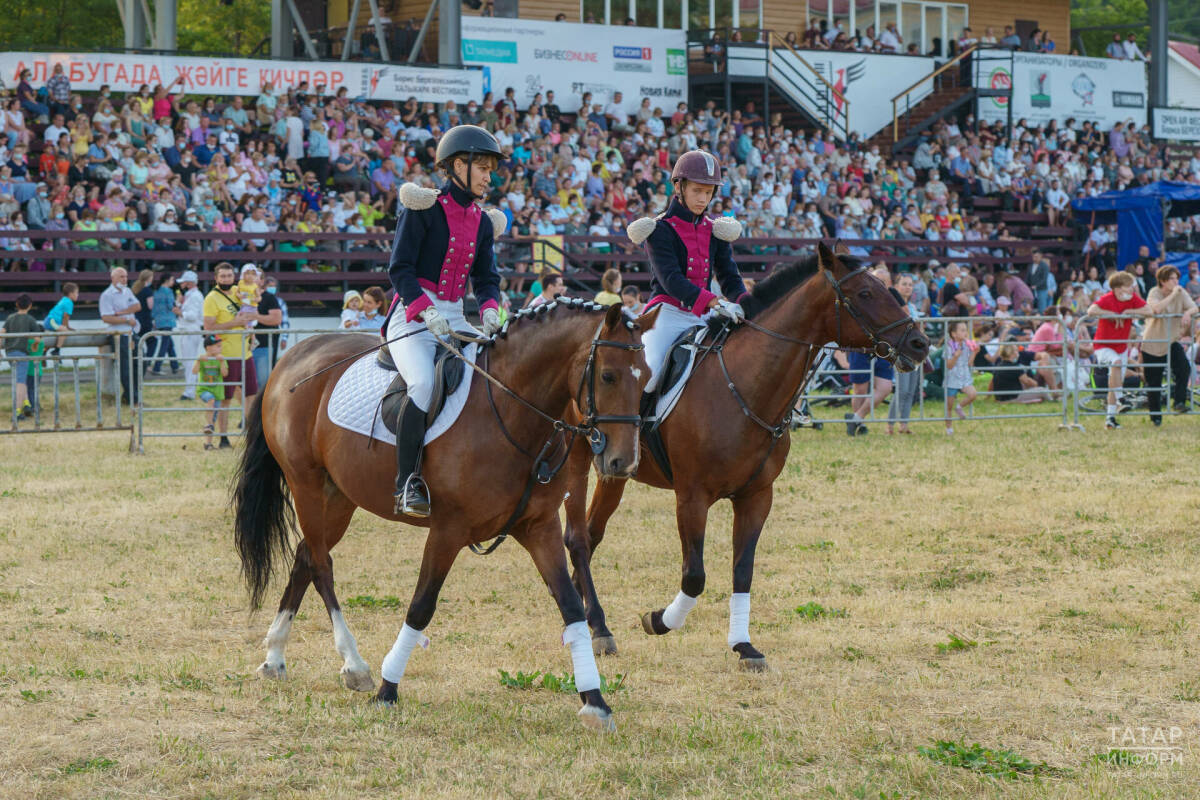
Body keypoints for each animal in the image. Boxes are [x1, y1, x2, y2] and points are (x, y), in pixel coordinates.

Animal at [229, 299, 652, 734]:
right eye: (607, 375)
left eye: (648, 378)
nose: (623, 461)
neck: (509, 412)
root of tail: (293, 356)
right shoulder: (448, 531)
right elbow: (421, 605)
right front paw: (388, 690)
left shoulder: (540, 528)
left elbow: (570, 607)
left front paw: (595, 702)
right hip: (307, 486)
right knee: (320, 563)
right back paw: (355, 664)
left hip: (340, 496)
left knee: (303, 558)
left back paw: (275, 657)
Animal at [561, 242, 926, 671]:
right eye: (866, 293)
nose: (920, 344)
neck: (744, 384)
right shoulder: (691, 498)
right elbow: (695, 576)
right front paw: (659, 620)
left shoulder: (757, 497)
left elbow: (743, 571)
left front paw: (743, 646)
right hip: (577, 462)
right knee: (578, 537)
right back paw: (599, 627)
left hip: (614, 471)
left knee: (592, 534)